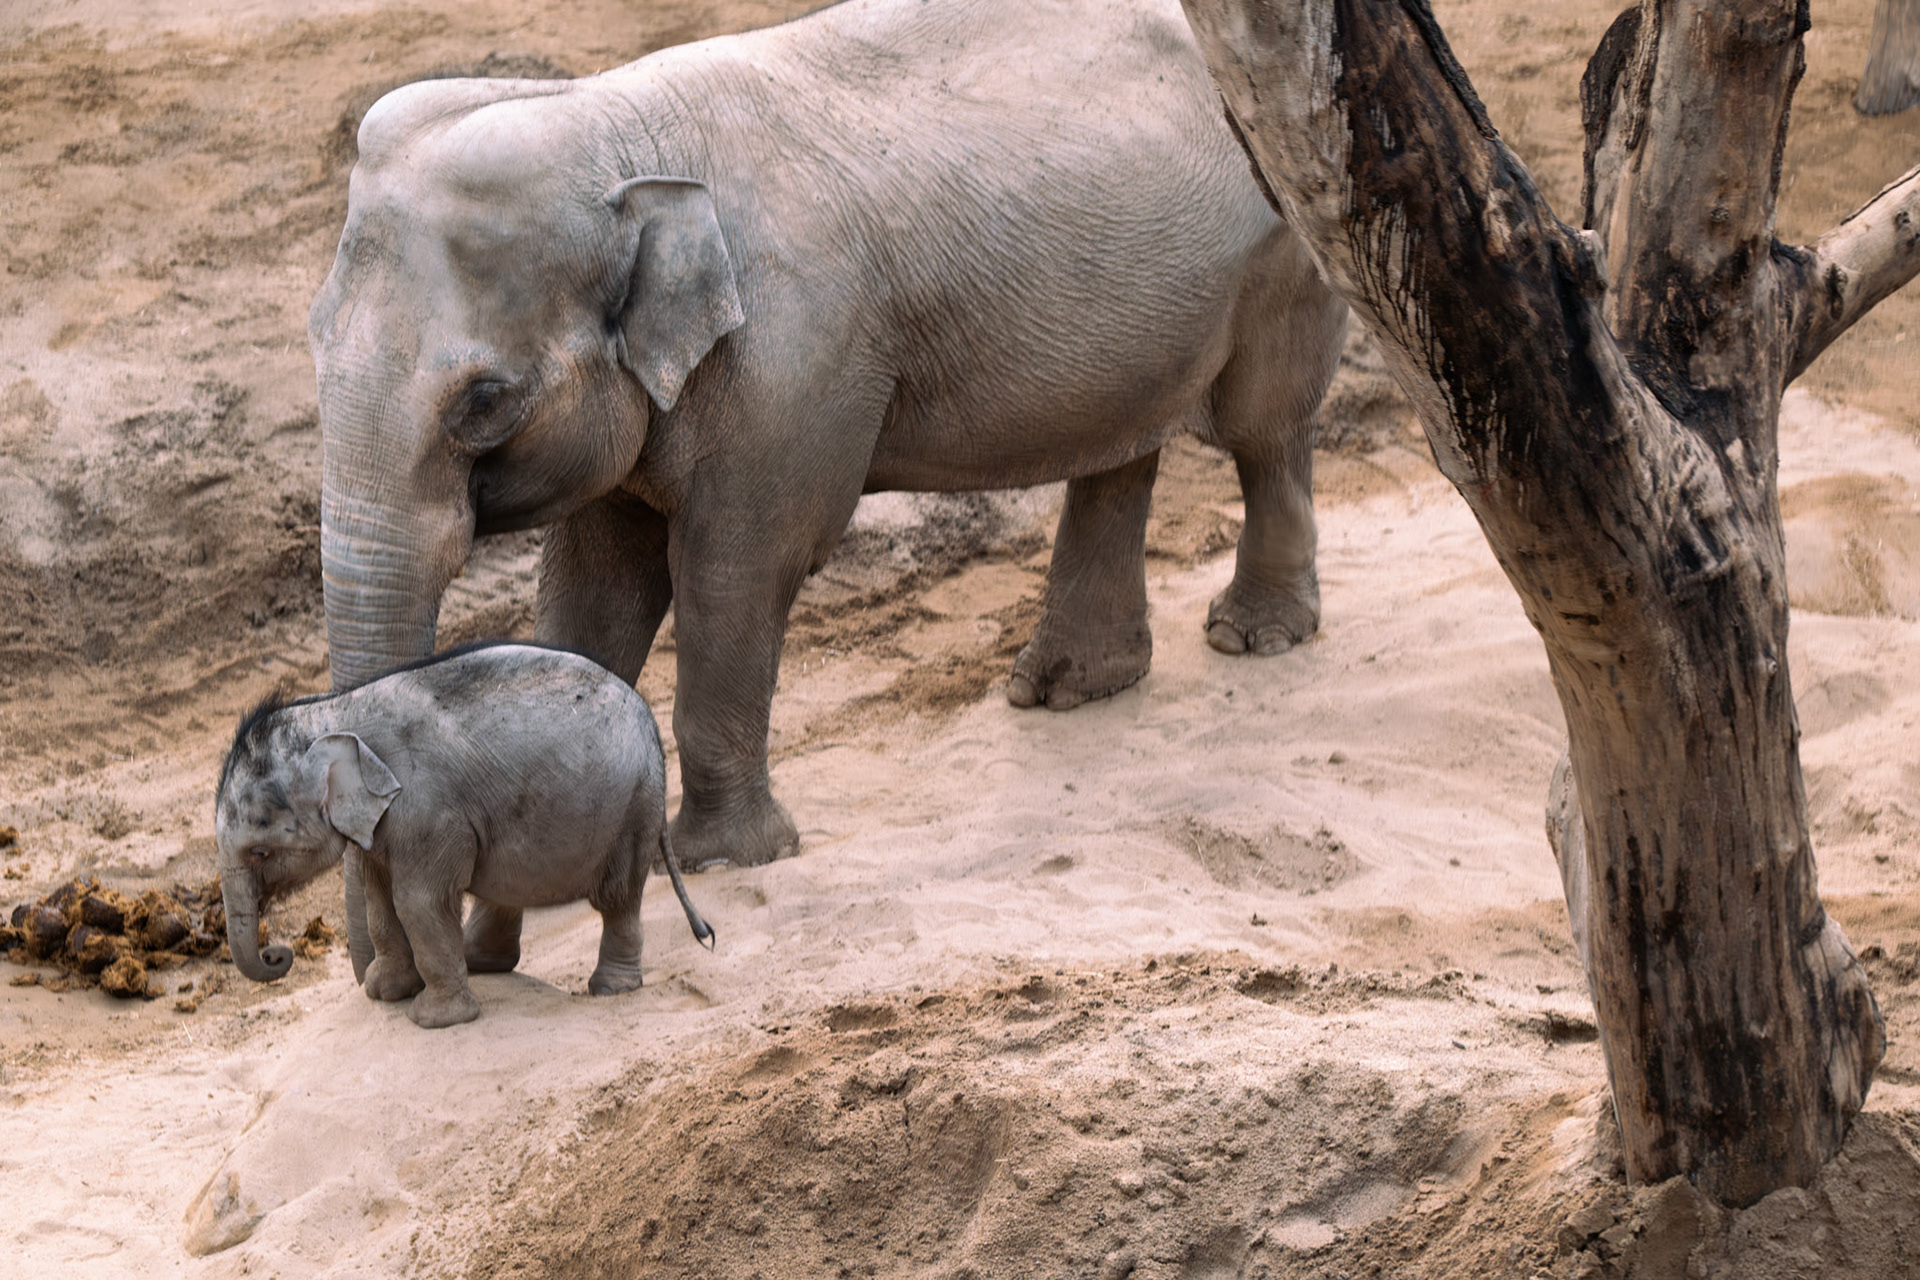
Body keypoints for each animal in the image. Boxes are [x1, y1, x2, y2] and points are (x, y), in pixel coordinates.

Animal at [214, 641, 713, 1028]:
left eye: (260, 851)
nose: (278, 955)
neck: (332, 710)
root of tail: (653, 728)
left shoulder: (428, 809)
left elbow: (418, 901)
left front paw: (433, 1020)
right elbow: (379, 897)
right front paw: (384, 992)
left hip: (633, 808)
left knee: (619, 897)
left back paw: (611, 989)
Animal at [307, 0, 1350, 968]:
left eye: (484, 400)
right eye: (314, 341)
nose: (387, 982)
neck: (608, 119)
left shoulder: (793, 364)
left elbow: (736, 570)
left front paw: (731, 858)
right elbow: (595, 591)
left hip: (1289, 245)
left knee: (1263, 428)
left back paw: (1253, 638)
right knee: (1120, 448)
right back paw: (1069, 688)